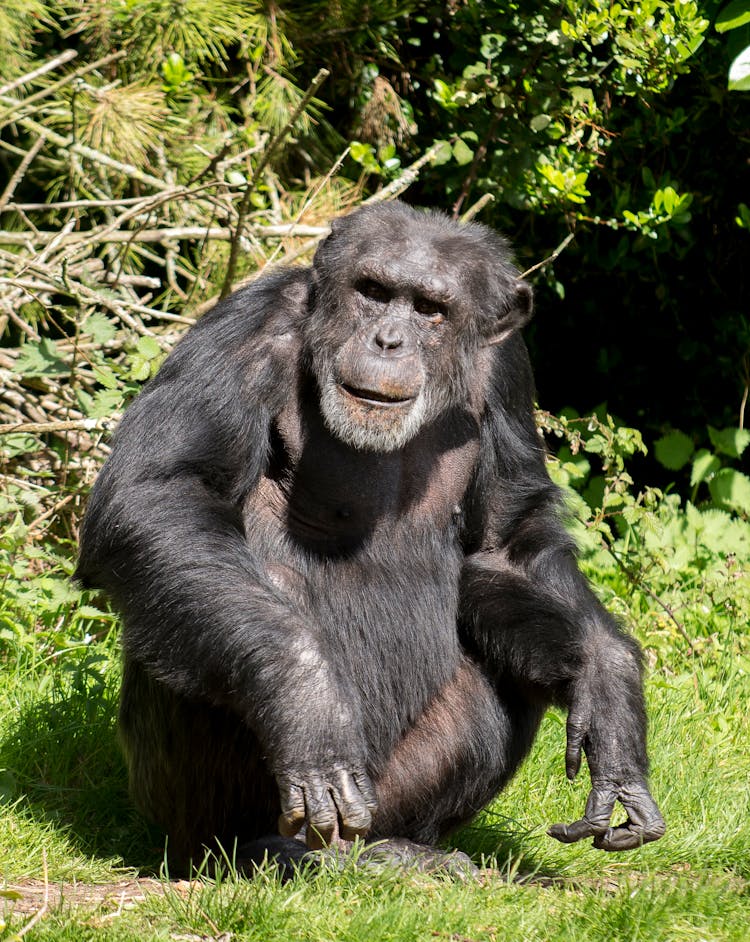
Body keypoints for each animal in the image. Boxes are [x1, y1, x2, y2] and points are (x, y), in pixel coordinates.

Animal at [76, 201, 664, 876]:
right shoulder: (248, 327)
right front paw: (304, 698)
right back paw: (264, 848)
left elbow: (507, 543)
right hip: (210, 804)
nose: (388, 340)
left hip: (386, 796)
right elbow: (160, 493)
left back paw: (406, 850)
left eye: (430, 309)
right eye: (374, 292)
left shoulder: (509, 367)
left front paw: (607, 680)